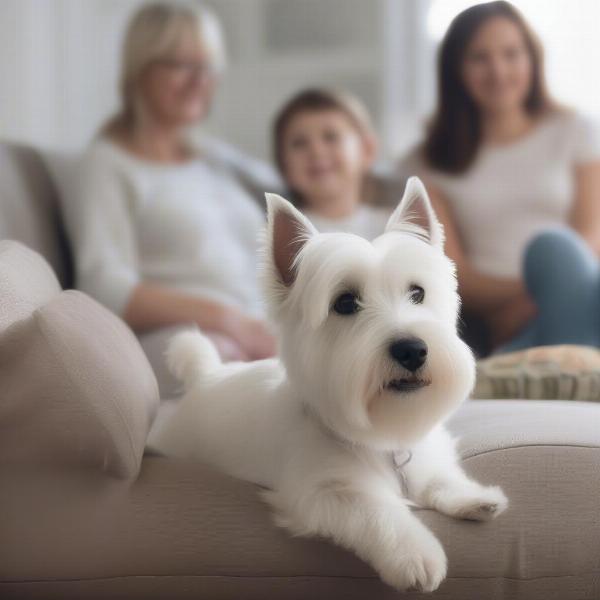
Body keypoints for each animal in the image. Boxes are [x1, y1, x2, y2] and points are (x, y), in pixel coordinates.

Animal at [155, 177, 506, 592]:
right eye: (345, 303)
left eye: (417, 293)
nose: (412, 350)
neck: (380, 434)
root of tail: (205, 374)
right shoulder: (326, 490)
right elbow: (379, 512)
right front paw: (416, 557)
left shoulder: (423, 455)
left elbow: (439, 477)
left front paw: (473, 496)